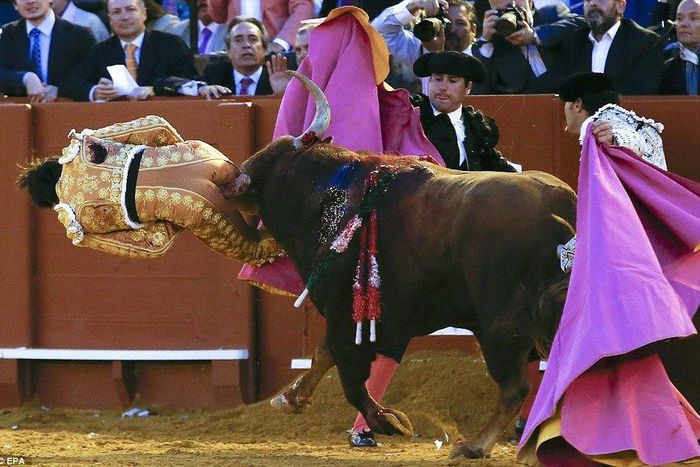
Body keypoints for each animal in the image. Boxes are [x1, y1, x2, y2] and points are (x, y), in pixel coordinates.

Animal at [223, 71, 577, 458]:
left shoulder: (349, 312)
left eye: (269, 157)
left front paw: (389, 422)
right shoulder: (375, 318)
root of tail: (559, 207)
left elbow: (347, 373)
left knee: (516, 386)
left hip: (500, 325)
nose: (233, 179)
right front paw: (291, 398)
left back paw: (475, 445)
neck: (333, 195)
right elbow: (325, 354)